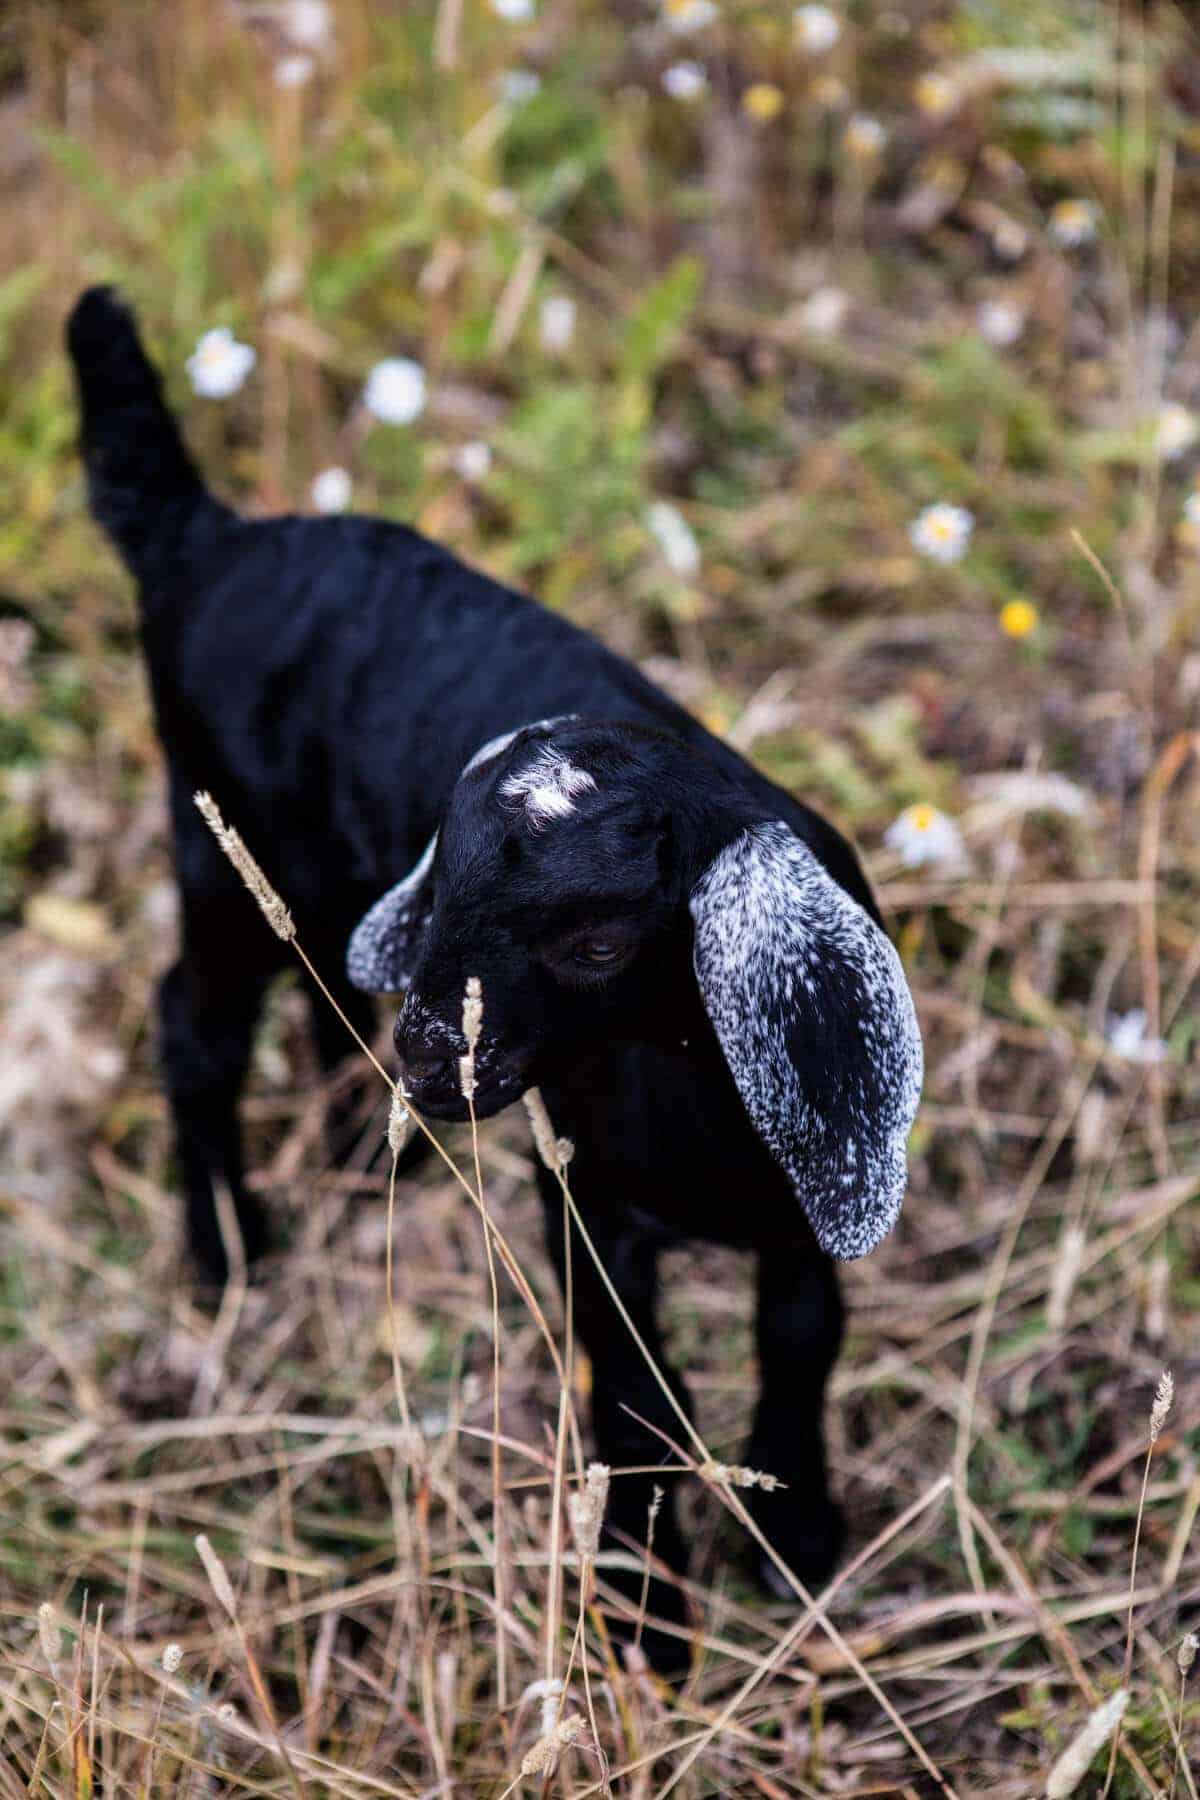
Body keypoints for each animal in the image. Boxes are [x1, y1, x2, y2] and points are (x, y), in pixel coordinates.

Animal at [68, 285, 922, 1670]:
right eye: (451, 896)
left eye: (598, 945)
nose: (436, 1063)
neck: (684, 1089)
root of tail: (208, 537)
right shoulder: (590, 1202)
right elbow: (634, 1394)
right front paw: (644, 1610)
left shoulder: (797, 1204)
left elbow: (801, 1348)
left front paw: (795, 1543)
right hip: (221, 842)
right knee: (194, 1030)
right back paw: (232, 1245)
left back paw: (357, 1146)